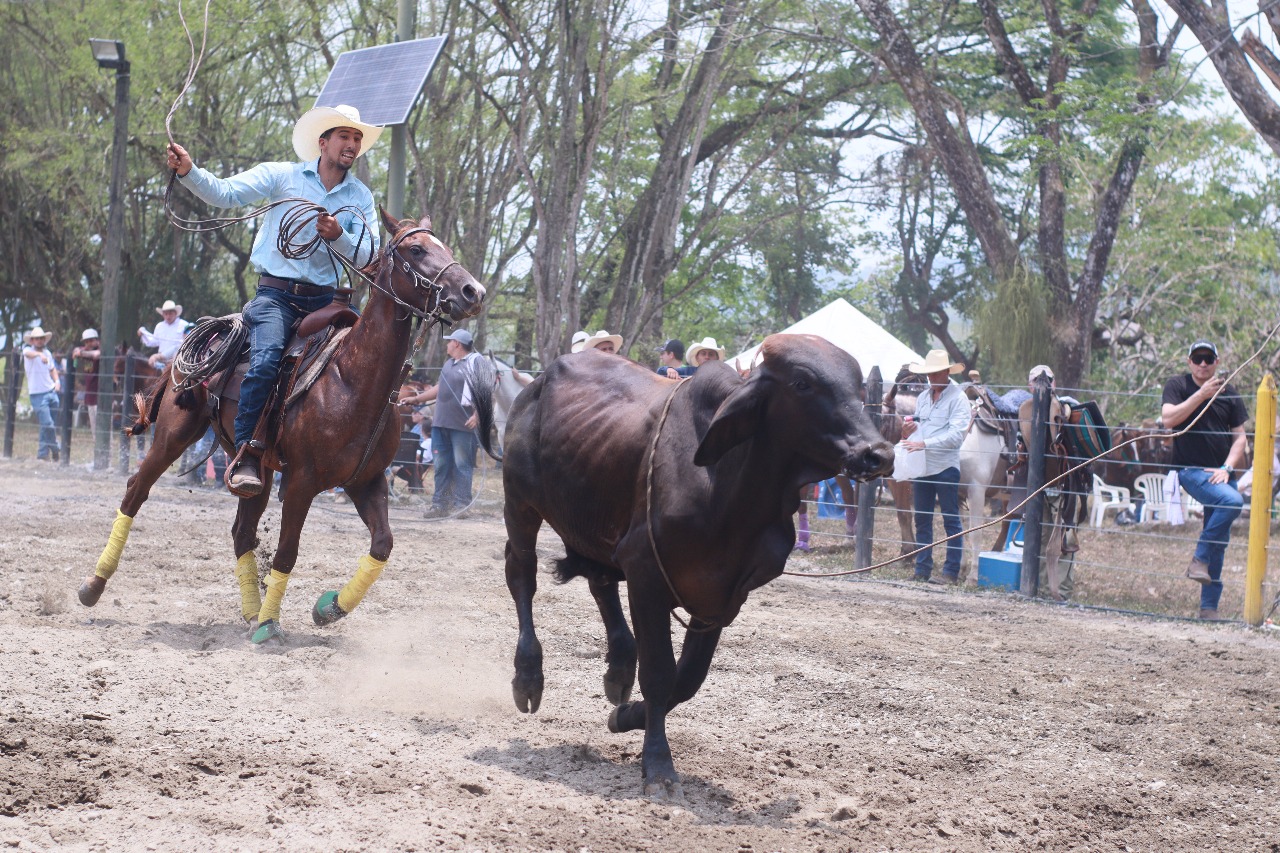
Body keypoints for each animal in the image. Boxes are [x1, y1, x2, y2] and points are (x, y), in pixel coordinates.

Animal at [78, 208, 488, 640]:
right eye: (416, 249)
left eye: (446, 247)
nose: (472, 292)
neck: (351, 378)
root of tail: (200, 337)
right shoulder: (301, 482)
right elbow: (287, 552)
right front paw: (270, 626)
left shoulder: (367, 480)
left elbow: (382, 544)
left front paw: (328, 609)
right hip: (172, 437)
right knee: (135, 491)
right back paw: (94, 585)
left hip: (253, 466)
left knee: (242, 530)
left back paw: (250, 611)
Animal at [778, 317, 1280, 578]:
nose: (868, 458)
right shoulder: (934, 489)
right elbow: (924, 520)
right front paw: (925, 562)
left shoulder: (973, 491)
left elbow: (964, 529)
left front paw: (965, 571)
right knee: (1019, 524)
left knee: (1035, 526)